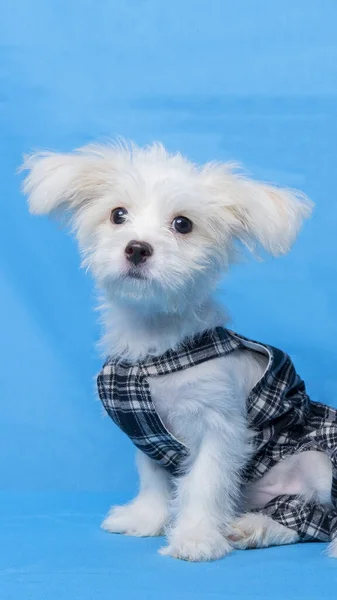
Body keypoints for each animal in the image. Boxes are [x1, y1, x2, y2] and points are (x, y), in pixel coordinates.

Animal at [21, 142, 334, 564]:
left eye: (183, 224)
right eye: (118, 214)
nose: (137, 248)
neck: (157, 347)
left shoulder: (220, 428)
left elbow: (204, 483)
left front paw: (196, 537)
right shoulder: (145, 430)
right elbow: (153, 478)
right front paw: (147, 518)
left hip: (319, 460)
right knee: (296, 516)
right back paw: (252, 527)